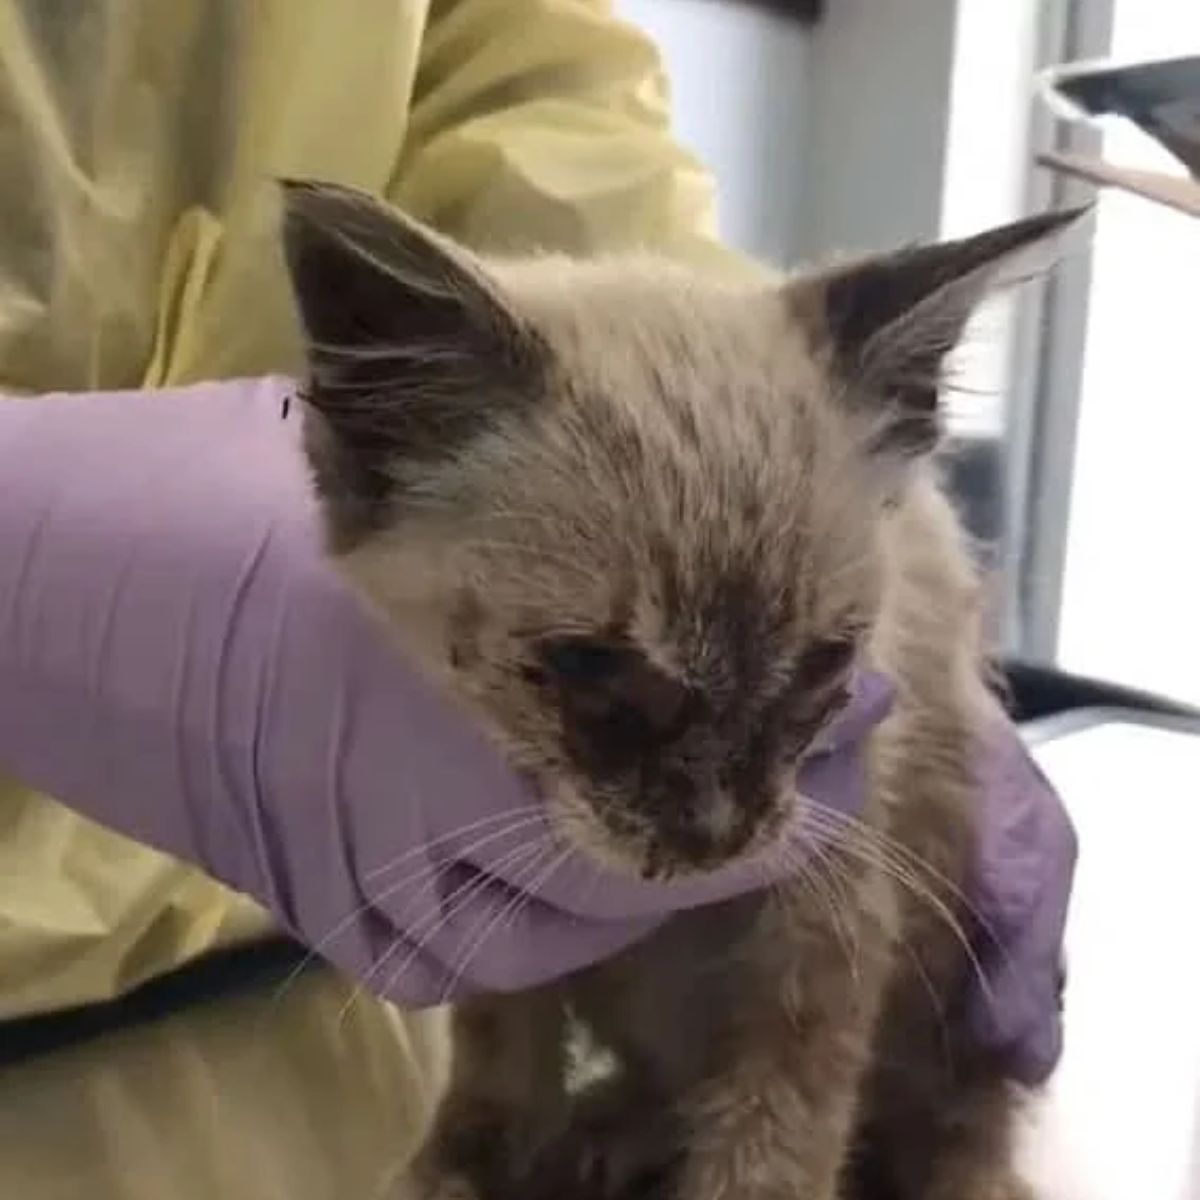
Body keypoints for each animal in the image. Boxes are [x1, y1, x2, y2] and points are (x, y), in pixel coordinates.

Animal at [278, 177, 1080, 1200]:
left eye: (824, 664)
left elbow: (773, 1142)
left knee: (966, 1125)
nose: (719, 832)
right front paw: (462, 1167)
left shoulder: (825, 926)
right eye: (592, 665)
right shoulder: (491, 905)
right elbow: (497, 1067)